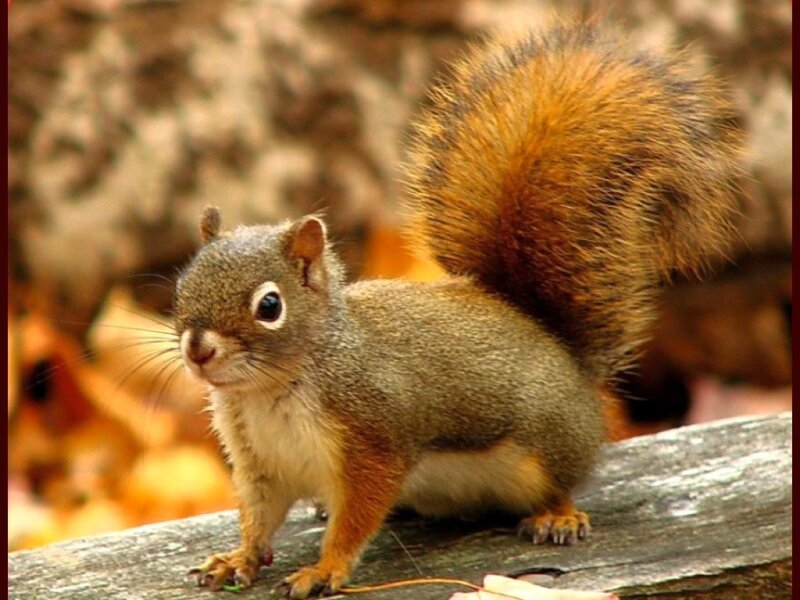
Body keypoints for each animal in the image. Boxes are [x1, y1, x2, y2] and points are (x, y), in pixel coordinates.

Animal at [176, 19, 740, 599]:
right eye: (184, 281)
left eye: (270, 305)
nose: (197, 350)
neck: (269, 392)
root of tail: (566, 357)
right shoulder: (260, 464)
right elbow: (259, 518)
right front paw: (237, 559)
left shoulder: (374, 438)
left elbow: (357, 516)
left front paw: (324, 569)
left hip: (546, 447)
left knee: (561, 481)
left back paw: (559, 516)